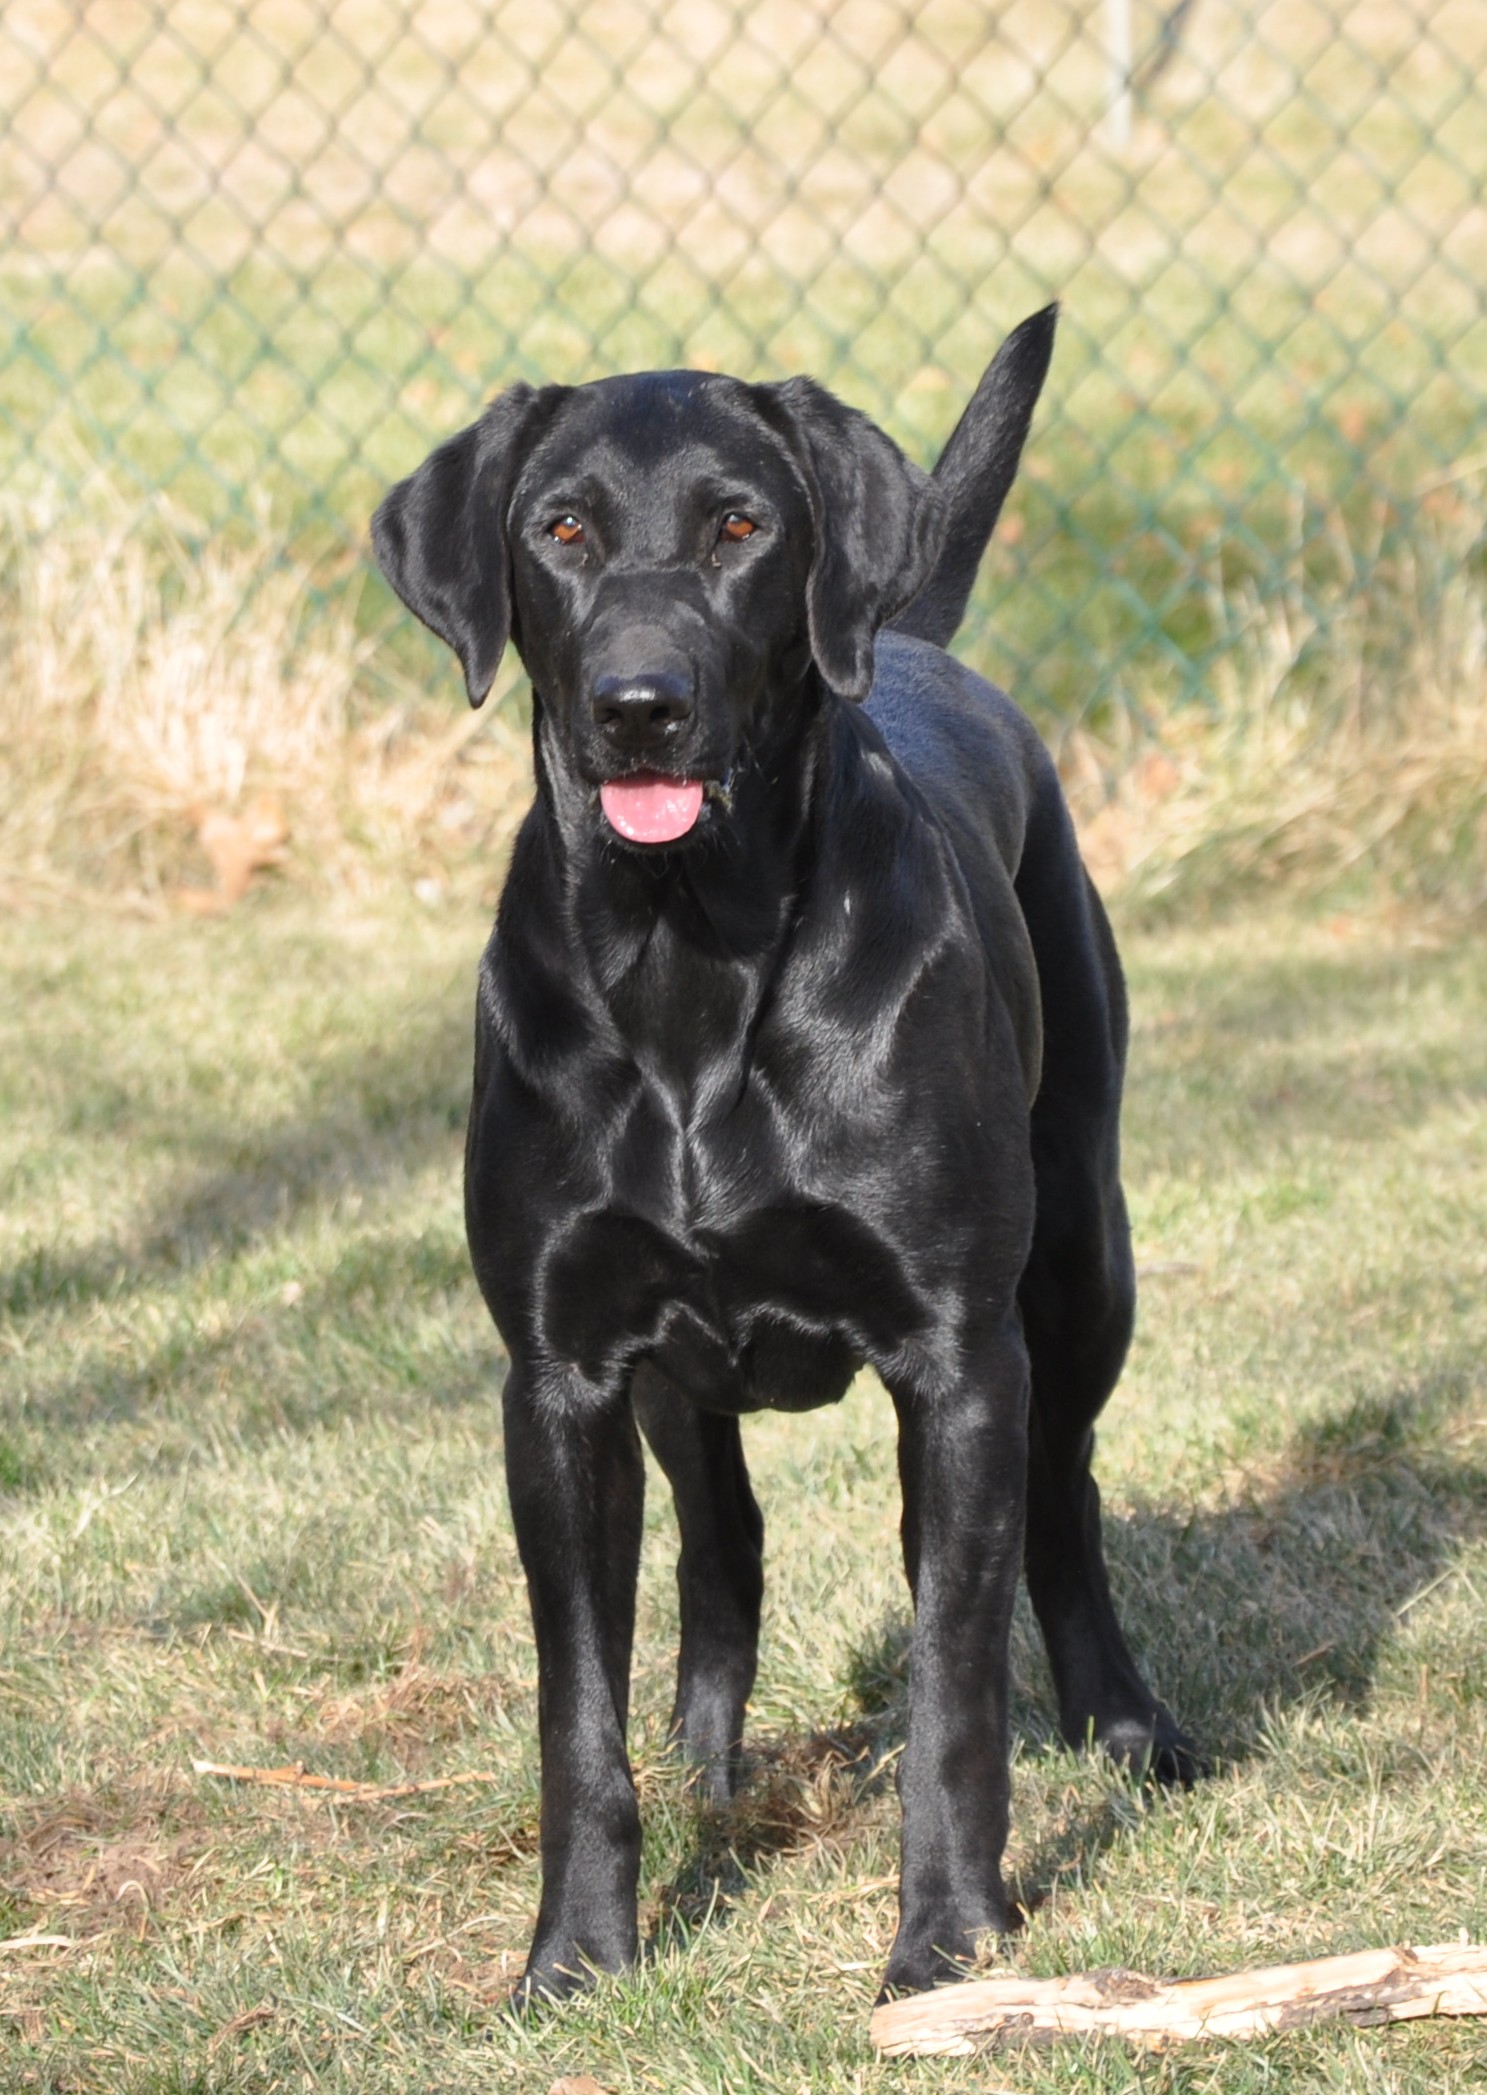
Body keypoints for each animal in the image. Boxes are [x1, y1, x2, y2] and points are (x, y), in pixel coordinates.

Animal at [374, 305, 1197, 1994]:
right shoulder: (558, 1373)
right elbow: (577, 1709)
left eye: (739, 527)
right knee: (722, 1537)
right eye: (560, 530)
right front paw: (575, 1954)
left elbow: (953, 1682)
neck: (689, 955)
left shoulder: (956, 1359)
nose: (637, 703)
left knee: (1064, 1492)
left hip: (1080, 1260)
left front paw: (946, 1937)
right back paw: (710, 1769)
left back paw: (1122, 1720)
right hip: (678, 1380)